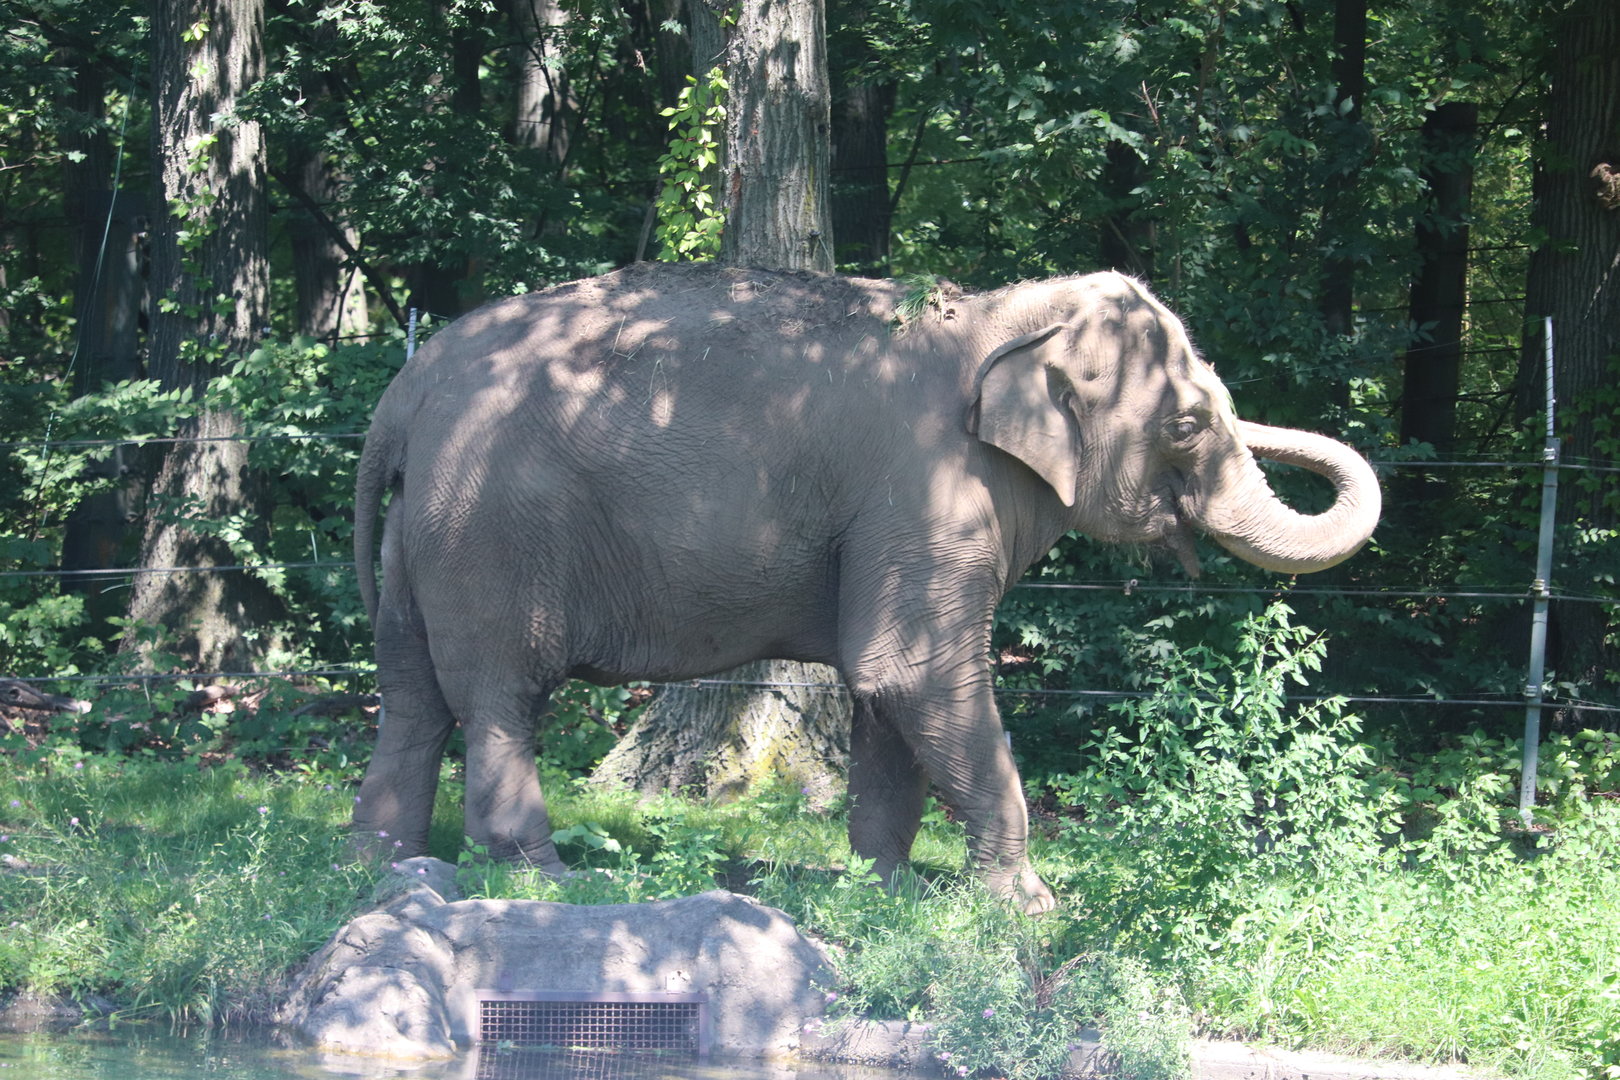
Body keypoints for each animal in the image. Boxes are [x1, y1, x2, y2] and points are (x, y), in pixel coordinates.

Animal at [351, 262, 1380, 914]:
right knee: (498, 696)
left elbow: (890, 687)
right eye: (1186, 424)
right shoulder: (924, 486)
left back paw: (387, 861)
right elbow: (912, 674)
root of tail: (402, 397)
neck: (1004, 315)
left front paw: (888, 889)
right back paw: (544, 877)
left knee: (411, 697)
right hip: (489, 532)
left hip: (418, 539)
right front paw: (1029, 908)